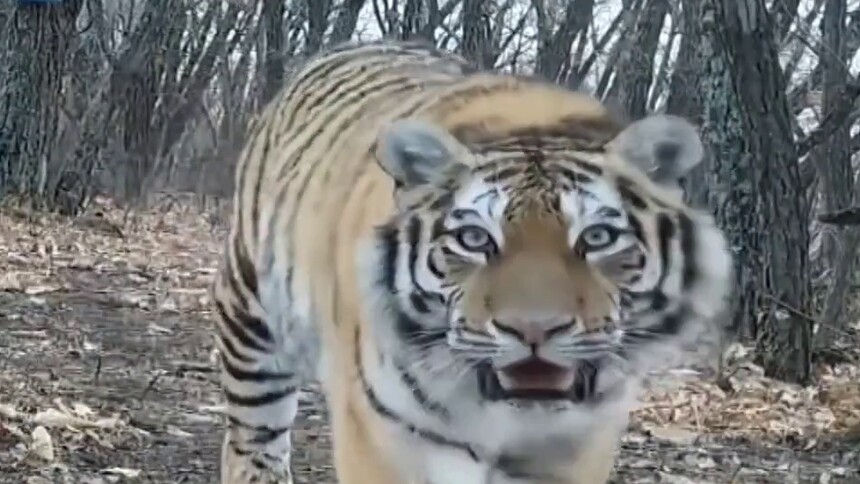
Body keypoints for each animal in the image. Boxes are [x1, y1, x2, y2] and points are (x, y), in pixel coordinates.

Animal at [211, 39, 733, 484]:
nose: (535, 330)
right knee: (252, 440)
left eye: (598, 237)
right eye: (475, 238)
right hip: (251, 324)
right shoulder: (380, 436)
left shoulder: (580, 445)